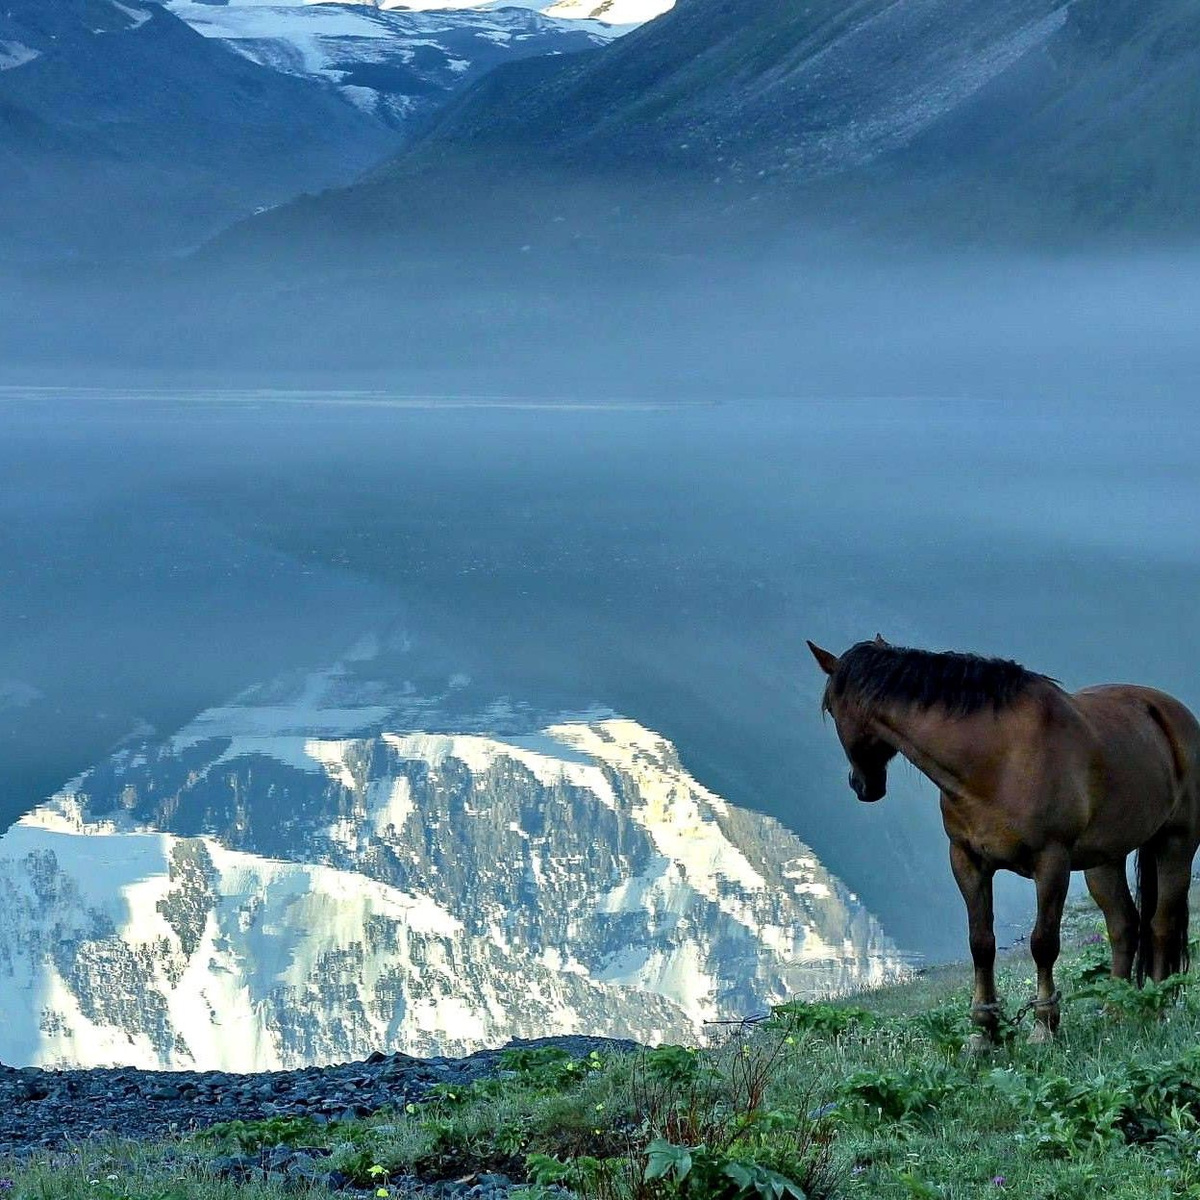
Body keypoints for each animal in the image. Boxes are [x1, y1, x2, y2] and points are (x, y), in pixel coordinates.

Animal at [806, 633, 1200, 1046]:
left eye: (830, 708)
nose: (861, 785)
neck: (997, 759)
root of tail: (1172, 714)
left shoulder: (1052, 862)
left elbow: (1043, 943)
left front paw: (1043, 1026)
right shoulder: (967, 860)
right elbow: (981, 944)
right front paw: (984, 1031)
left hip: (1176, 844)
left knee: (1160, 923)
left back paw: (1158, 1006)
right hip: (1104, 860)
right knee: (1123, 926)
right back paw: (1115, 1011)